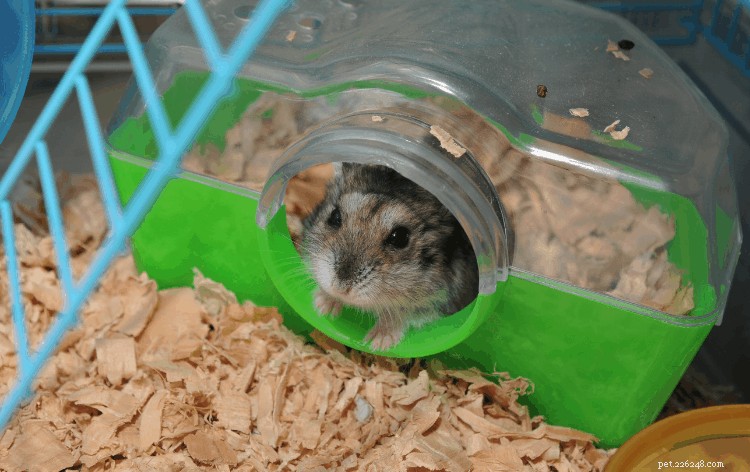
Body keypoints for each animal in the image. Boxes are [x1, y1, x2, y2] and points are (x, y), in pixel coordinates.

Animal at [301, 163, 478, 351]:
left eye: (400, 237)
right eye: (334, 216)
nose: (340, 288)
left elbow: (401, 313)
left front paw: (376, 343)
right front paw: (322, 307)